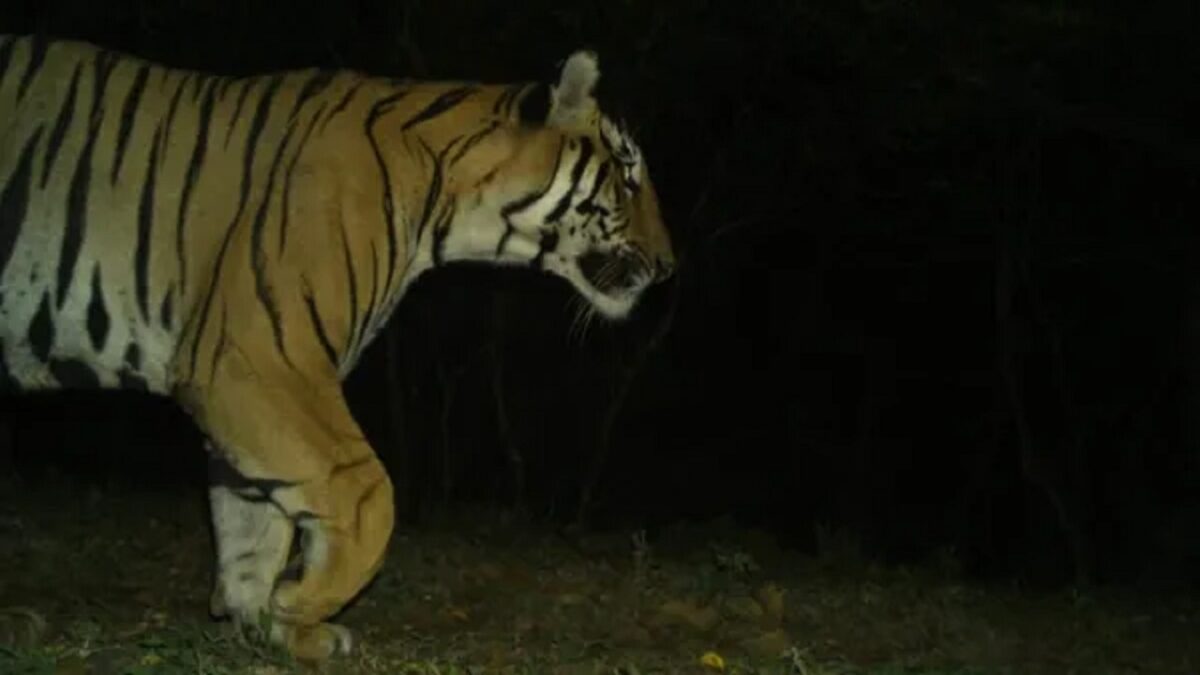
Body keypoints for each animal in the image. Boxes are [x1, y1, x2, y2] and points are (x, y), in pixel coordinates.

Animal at [0, 34, 674, 660]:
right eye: (628, 172)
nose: (670, 265)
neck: (447, 207)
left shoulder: (254, 389)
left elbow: (253, 520)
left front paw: (269, 622)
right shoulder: (259, 359)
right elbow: (368, 496)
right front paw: (298, 601)